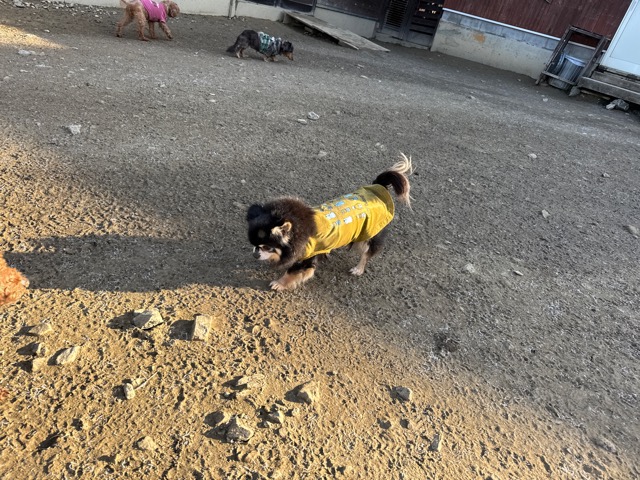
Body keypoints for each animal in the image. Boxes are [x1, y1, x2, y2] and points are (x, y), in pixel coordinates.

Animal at [247, 154, 412, 291]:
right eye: (254, 245)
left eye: (267, 247)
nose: (254, 255)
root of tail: (378, 186)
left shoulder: (306, 258)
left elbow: (292, 272)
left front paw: (279, 283)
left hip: (368, 236)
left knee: (366, 253)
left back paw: (358, 269)